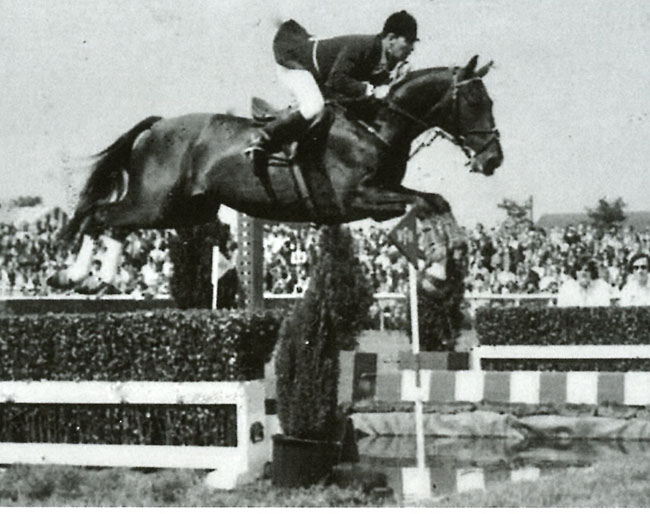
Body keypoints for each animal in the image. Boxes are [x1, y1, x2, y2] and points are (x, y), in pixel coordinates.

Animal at [52, 55, 502, 292]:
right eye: (475, 102)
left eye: (489, 101)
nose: (493, 161)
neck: (377, 126)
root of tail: (157, 126)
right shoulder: (359, 197)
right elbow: (423, 204)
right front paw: (440, 268)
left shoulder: (381, 198)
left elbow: (432, 202)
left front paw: (445, 262)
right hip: (156, 203)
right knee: (101, 216)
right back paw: (76, 275)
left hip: (183, 211)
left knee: (114, 224)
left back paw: (95, 279)